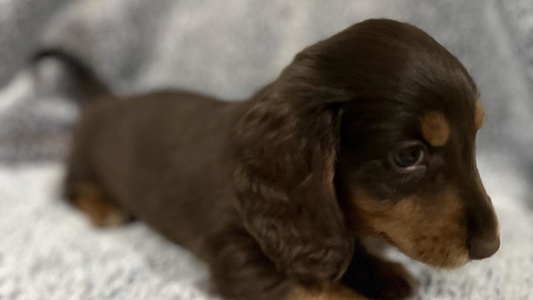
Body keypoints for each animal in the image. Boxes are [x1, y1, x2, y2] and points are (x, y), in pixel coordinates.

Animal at [33, 18, 498, 300]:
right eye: (408, 156)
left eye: (476, 135)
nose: (490, 247)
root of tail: (105, 100)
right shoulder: (236, 257)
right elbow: (317, 289)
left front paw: (382, 273)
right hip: (82, 160)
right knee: (68, 187)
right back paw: (103, 207)